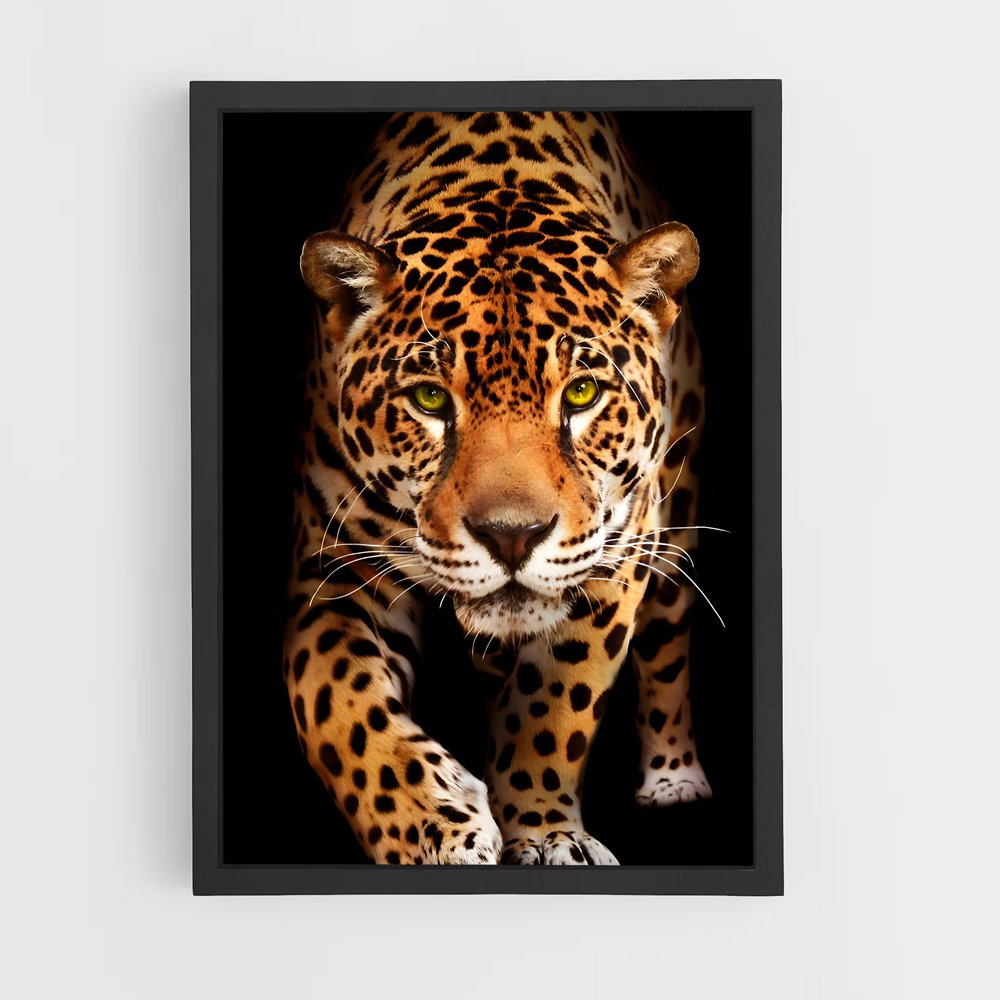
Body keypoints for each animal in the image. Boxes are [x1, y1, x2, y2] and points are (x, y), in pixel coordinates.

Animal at [283, 110, 714, 865]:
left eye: (582, 393)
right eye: (429, 398)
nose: (512, 537)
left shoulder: (616, 552)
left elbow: (556, 702)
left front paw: (545, 833)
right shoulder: (334, 570)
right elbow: (340, 706)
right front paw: (434, 827)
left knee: (668, 641)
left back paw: (673, 778)